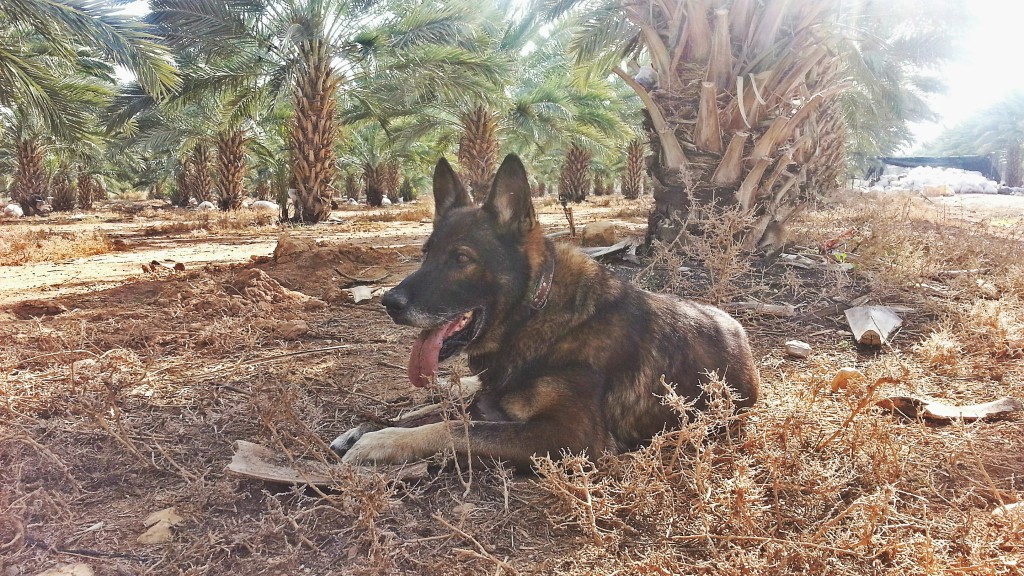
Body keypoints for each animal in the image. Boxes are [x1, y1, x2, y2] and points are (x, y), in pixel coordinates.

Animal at [331, 154, 757, 469]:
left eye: (461, 259)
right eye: (426, 253)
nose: (390, 303)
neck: (534, 314)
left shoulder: (569, 437)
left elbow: (456, 428)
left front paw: (383, 440)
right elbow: (447, 414)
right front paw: (368, 429)